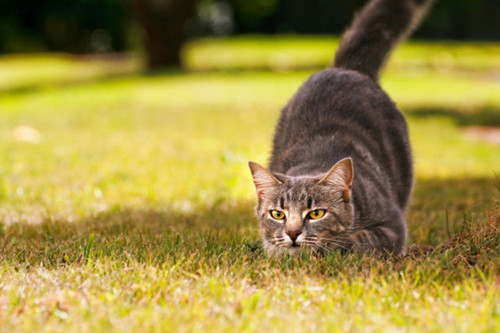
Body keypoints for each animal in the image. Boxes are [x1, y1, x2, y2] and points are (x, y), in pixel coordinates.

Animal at [249, 0, 434, 255]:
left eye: (316, 213)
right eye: (278, 214)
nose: (293, 233)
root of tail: (345, 69)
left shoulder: (393, 226)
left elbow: (355, 239)